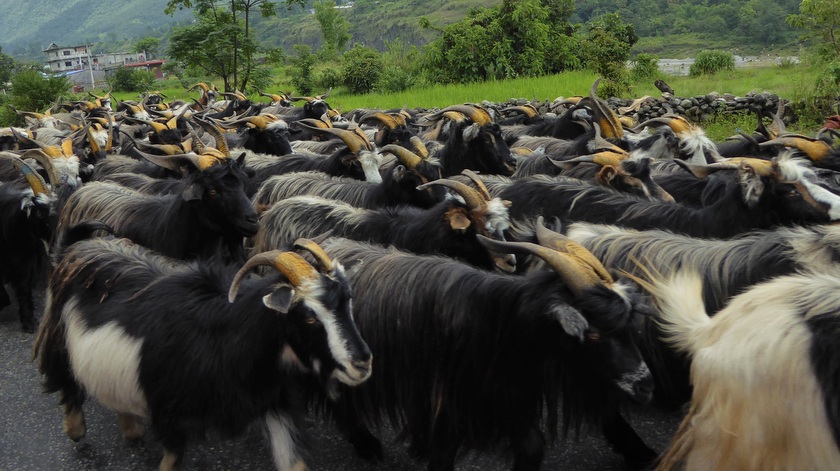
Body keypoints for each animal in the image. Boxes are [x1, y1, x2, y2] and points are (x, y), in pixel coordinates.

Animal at [36, 233, 370, 471]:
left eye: (348, 302)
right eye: (309, 316)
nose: (362, 363)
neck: (227, 336)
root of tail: (80, 248)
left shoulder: (274, 402)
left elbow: (294, 461)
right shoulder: (171, 414)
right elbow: (171, 463)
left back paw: (131, 428)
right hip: (58, 340)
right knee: (66, 382)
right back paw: (76, 429)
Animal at [318, 230, 660, 471]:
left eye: (629, 326)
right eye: (593, 333)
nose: (646, 386)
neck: (494, 321)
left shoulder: (506, 398)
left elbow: (532, 447)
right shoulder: (445, 408)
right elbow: (442, 457)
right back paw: (366, 445)